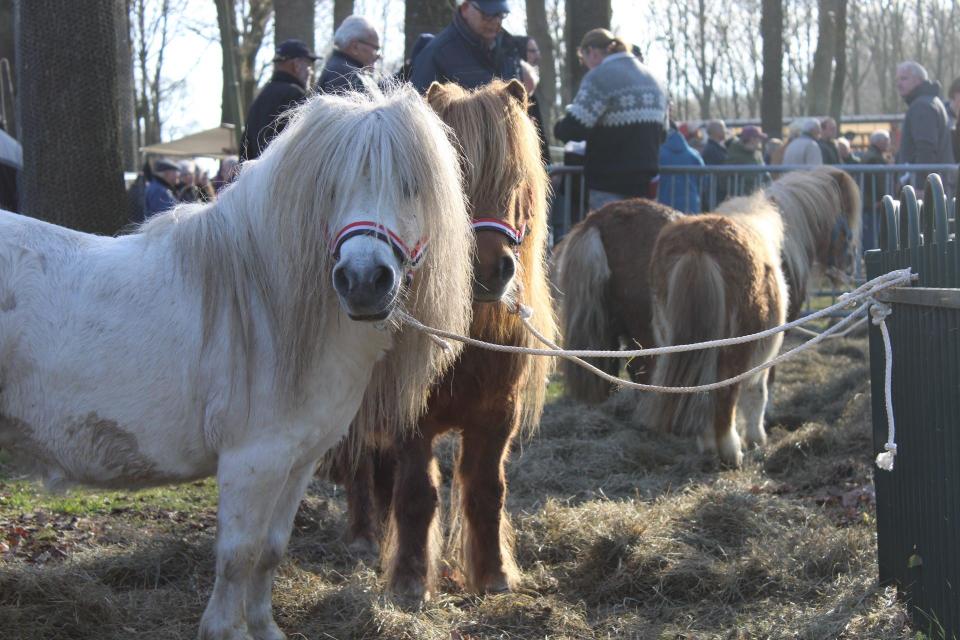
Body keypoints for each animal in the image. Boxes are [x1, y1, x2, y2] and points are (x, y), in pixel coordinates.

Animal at [0, 86, 474, 640]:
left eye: (410, 185)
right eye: (329, 187)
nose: (362, 282)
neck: (266, 303)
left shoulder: (298, 460)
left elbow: (270, 550)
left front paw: (264, 628)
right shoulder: (253, 462)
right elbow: (237, 555)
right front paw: (225, 629)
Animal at [327, 79, 556, 603]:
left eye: (517, 180)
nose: (487, 270)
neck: (468, 342)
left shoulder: (497, 416)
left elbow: (486, 490)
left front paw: (493, 575)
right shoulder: (412, 418)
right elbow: (417, 494)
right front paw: (410, 582)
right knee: (359, 463)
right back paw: (363, 537)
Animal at [643, 167, 861, 467]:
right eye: (845, 233)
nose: (850, 267)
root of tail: (699, 246)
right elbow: (760, 388)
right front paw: (758, 436)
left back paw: (708, 445)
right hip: (736, 348)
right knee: (726, 393)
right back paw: (731, 451)